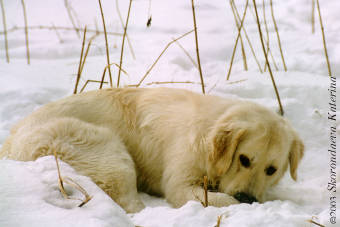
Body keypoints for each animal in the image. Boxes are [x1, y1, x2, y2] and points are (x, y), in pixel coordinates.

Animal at [0, 87, 302, 213]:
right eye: (244, 159)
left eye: (271, 169)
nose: (248, 197)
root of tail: (11, 143)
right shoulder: (181, 184)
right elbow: (220, 200)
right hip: (105, 149)